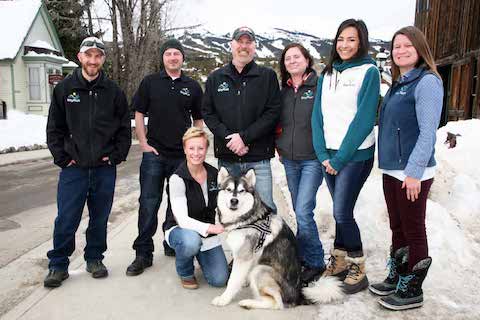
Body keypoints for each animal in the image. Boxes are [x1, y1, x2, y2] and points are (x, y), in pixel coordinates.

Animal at [212, 168, 344, 310]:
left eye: (242, 191)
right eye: (229, 189)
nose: (234, 200)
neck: (247, 219)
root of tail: (298, 295)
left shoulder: (243, 257)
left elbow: (232, 281)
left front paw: (224, 299)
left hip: (259, 270)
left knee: (276, 303)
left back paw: (248, 303)